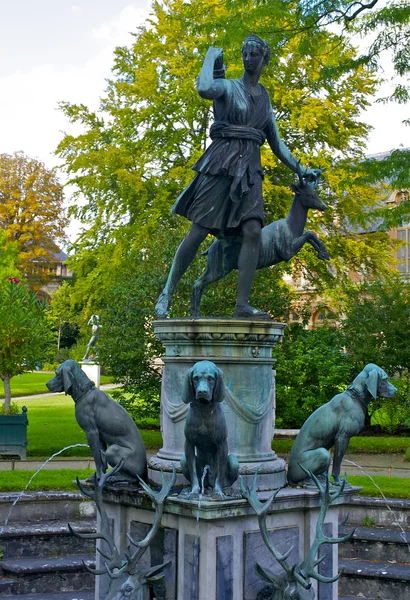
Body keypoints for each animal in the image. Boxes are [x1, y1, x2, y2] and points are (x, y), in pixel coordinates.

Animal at [181, 360, 239, 496]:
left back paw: (226, 490)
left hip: (234, 461)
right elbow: (193, 472)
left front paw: (218, 492)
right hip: (184, 461)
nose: (202, 392)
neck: (204, 410)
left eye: (211, 379)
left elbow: (220, 472)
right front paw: (194, 491)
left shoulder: (222, 444)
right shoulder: (189, 444)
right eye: (195, 378)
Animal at [286, 360, 396, 488]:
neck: (355, 397)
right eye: (385, 379)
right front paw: (338, 481)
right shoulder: (343, 437)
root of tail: (288, 477)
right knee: (304, 479)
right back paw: (316, 482)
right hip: (323, 454)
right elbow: (337, 465)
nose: (396, 390)